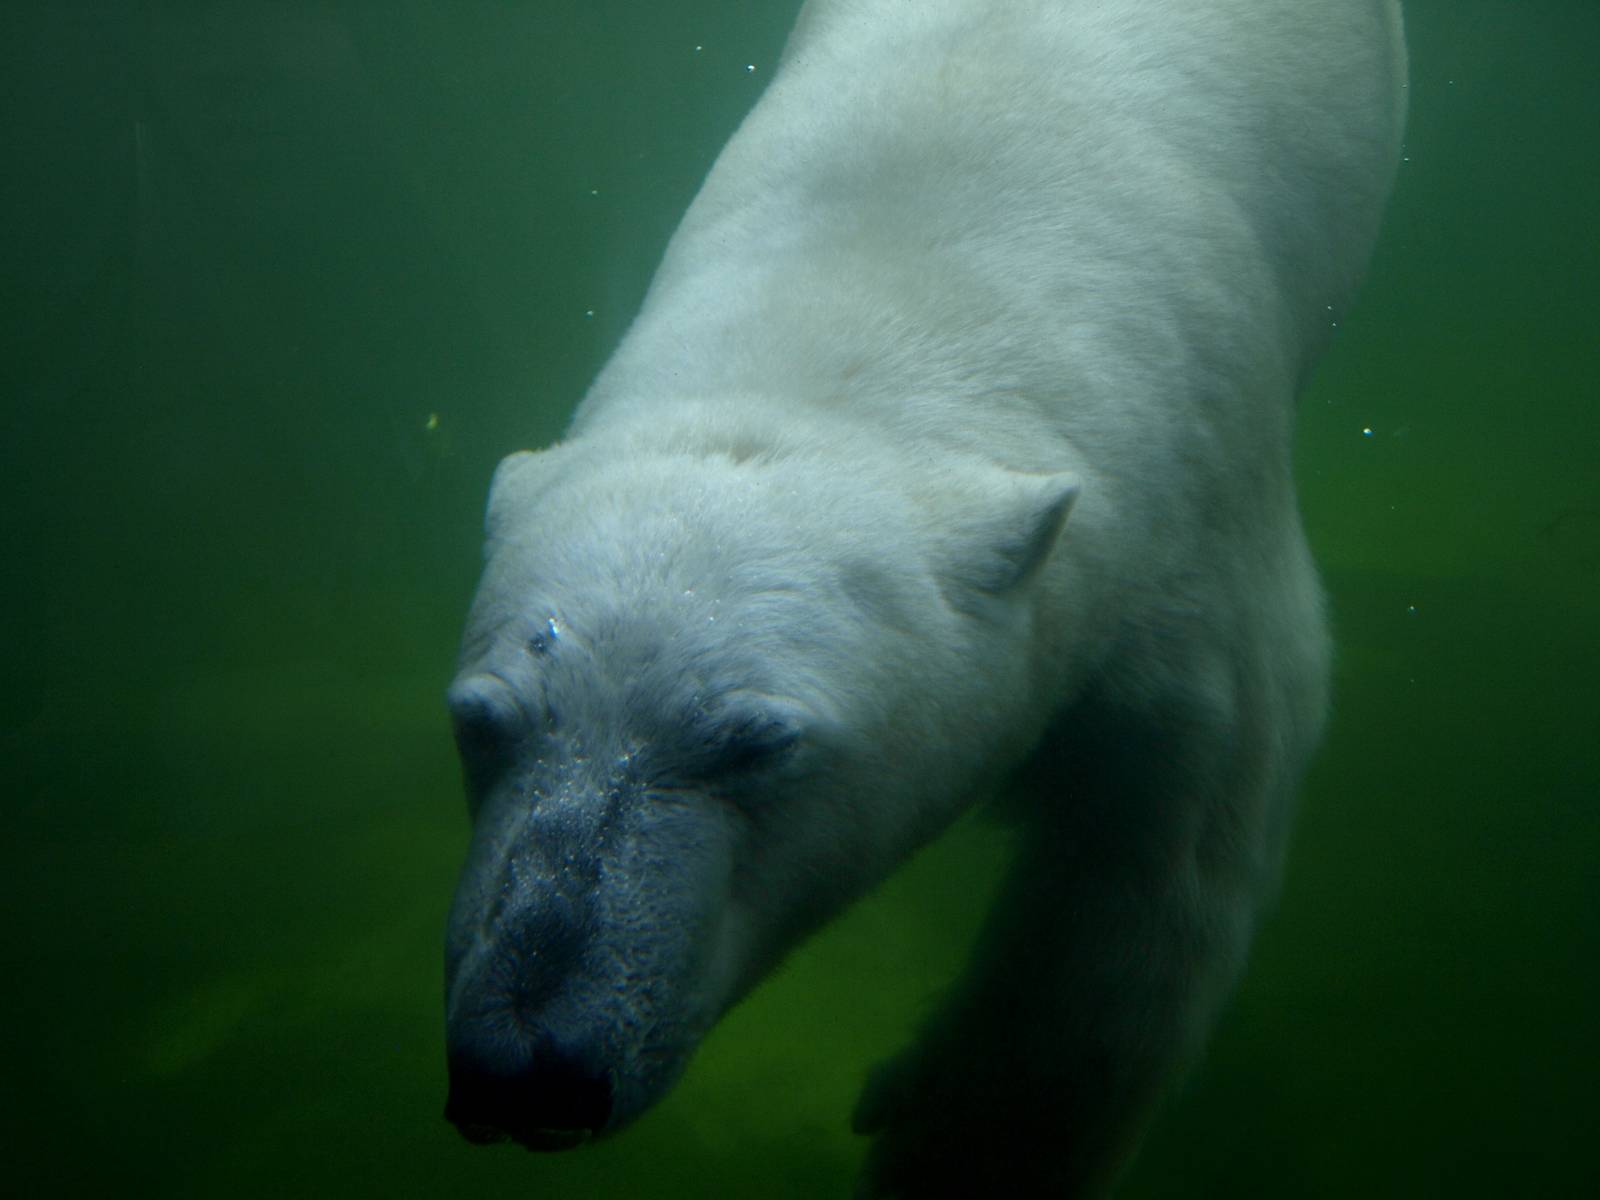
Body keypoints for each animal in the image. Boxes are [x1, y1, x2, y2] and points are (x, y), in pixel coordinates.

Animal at [440, 1, 1408, 1194]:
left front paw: (946, 1128)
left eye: (753, 743)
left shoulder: (1195, 544)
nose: (526, 1069)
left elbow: (1151, 887)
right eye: (478, 722)